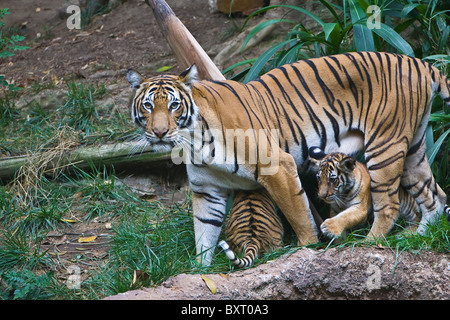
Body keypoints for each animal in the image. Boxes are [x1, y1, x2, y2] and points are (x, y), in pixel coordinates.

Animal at [127, 52, 450, 264]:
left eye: (174, 105)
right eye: (147, 105)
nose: (159, 132)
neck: (193, 140)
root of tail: (420, 63)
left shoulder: (276, 166)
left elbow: (299, 214)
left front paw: (307, 248)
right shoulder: (206, 189)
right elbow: (204, 232)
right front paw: (200, 271)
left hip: (385, 147)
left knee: (390, 203)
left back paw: (372, 243)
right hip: (413, 149)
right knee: (435, 197)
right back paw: (417, 238)